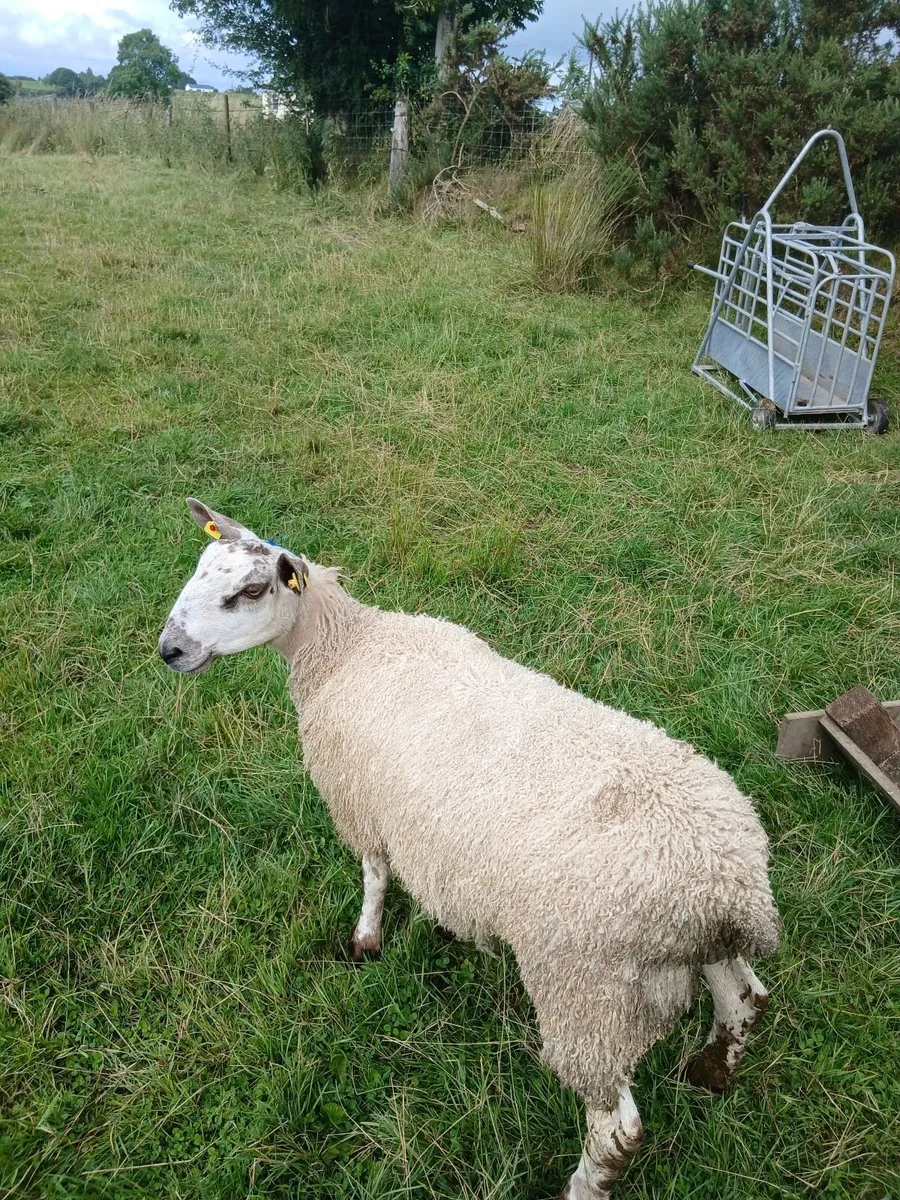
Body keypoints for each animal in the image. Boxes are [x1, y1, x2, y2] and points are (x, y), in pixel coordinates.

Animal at [159, 498, 780, 1200]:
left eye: (250, 591)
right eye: (199, 568)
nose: (169, 650)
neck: (348, 648)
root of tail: (731, 891)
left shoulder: (361, 803)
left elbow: (374, 874)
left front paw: (365, 940)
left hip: (587, 994)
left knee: (617, 1128)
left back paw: (581, 1185)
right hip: (694, 949)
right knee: (745, 1001)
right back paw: (710, 1074)